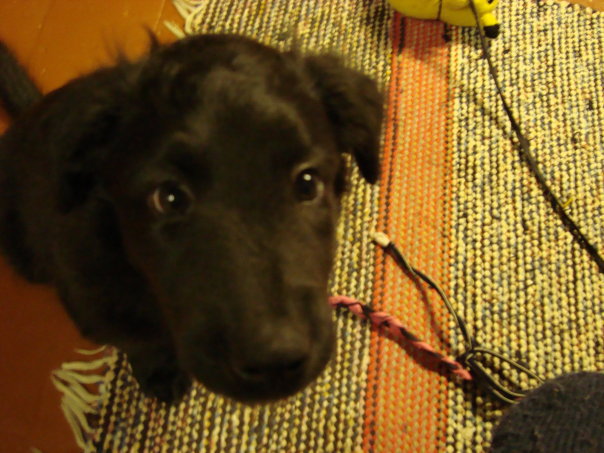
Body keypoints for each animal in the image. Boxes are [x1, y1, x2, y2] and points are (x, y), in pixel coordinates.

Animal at [0, 34, 382, 404]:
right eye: (169, 198)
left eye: (307, 183)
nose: (275, 361)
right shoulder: (97, 306)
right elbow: (142, 340)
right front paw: (160, 373)